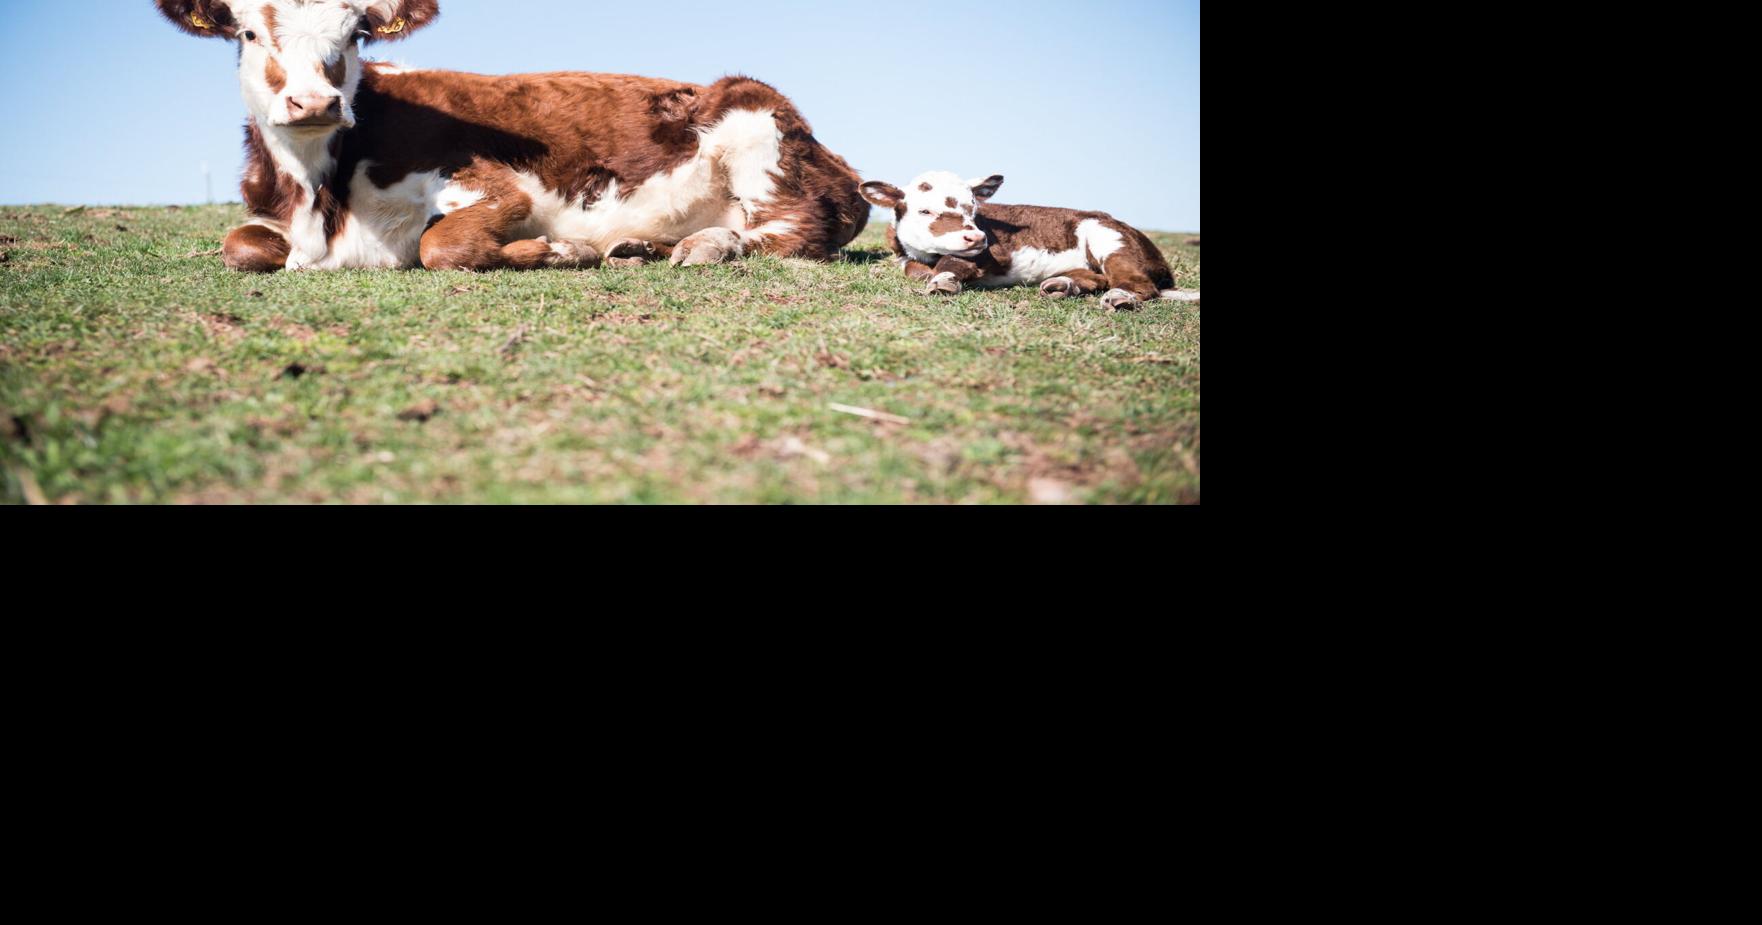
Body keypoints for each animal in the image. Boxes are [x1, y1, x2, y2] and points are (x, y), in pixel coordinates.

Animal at [153, 1, 870, 274]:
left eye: (355, 32)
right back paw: (637, 244)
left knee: (786, 232)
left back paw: (702, 244)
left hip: (756, 122)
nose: (314, 101)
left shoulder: (498, 186)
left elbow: (441, 245)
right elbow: (239, 243)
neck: (320, 201)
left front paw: (557, 250)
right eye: (249, 32)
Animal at [859, 171, 1200, 311]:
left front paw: (943, 281)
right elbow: (912, 269)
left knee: (1137, 282)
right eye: (925, 209)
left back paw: (1120, 297)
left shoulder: (990, 253)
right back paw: (1062, 285)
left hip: (1109, 237)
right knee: (1098, 277)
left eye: (973, 207)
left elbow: (952, 260)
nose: (976, 235)